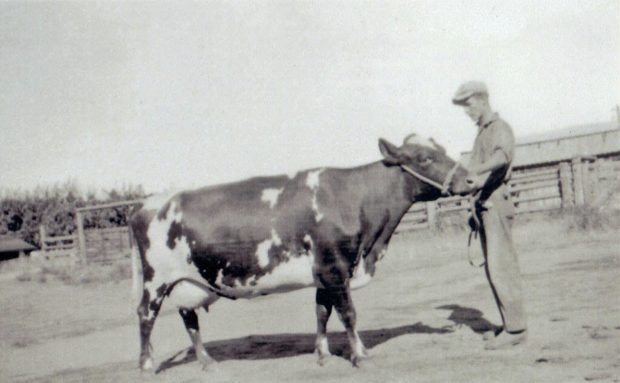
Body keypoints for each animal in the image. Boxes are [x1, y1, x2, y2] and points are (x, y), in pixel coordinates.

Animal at [130, 135, 470, 372]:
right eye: (425, 158)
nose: (469, 178)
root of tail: (145, 203)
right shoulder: (335, 267)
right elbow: (348, 313)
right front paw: (361, 356)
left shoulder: (324, 273)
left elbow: (322, 311)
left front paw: (323, 353)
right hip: (156, 279)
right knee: (146, 314)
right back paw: (146, 366)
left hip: (187, 280)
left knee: (188, 317)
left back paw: (207, 361)